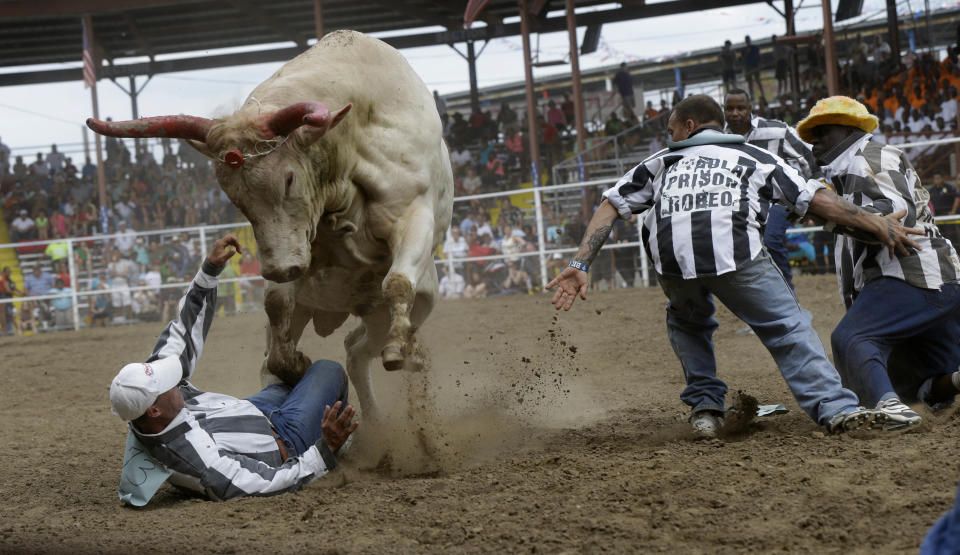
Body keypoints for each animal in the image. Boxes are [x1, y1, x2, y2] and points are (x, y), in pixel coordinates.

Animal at [86, 29, 454, 422]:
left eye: (289, 178)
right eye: (235, 197)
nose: (279, 269)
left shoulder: (413, 216)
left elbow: (397, 281)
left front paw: (400, 348)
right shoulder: (294, 247)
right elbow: (276, 308)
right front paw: (294, 363)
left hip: (406, 305)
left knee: (362, 343)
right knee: (338, 350)